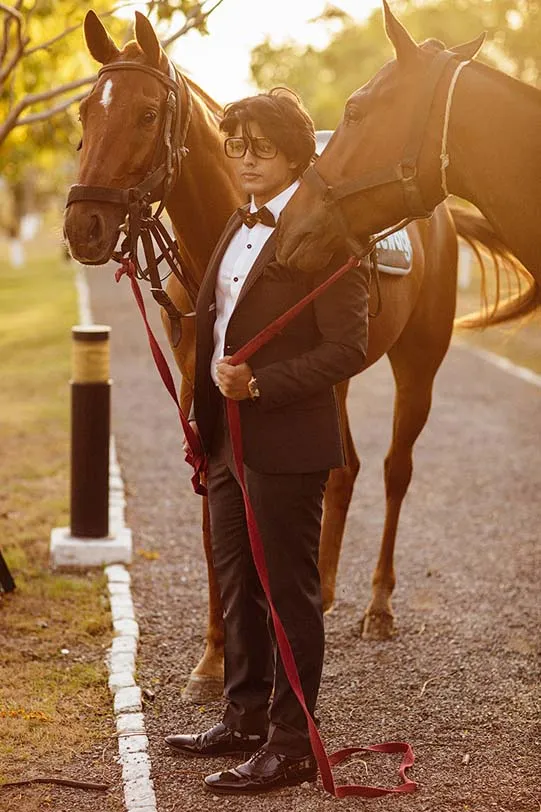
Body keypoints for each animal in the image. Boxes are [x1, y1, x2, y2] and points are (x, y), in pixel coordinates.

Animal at [63, 9, 532, 704]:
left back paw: (377, 605)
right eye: (85, 112)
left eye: (147, 114)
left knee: (393, 471)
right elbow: (216, 521)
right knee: (345, 470)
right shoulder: (201, 394)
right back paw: (328, 589)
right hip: (331, 382)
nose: (83, 227)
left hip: (416, 366)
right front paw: (214, 657)